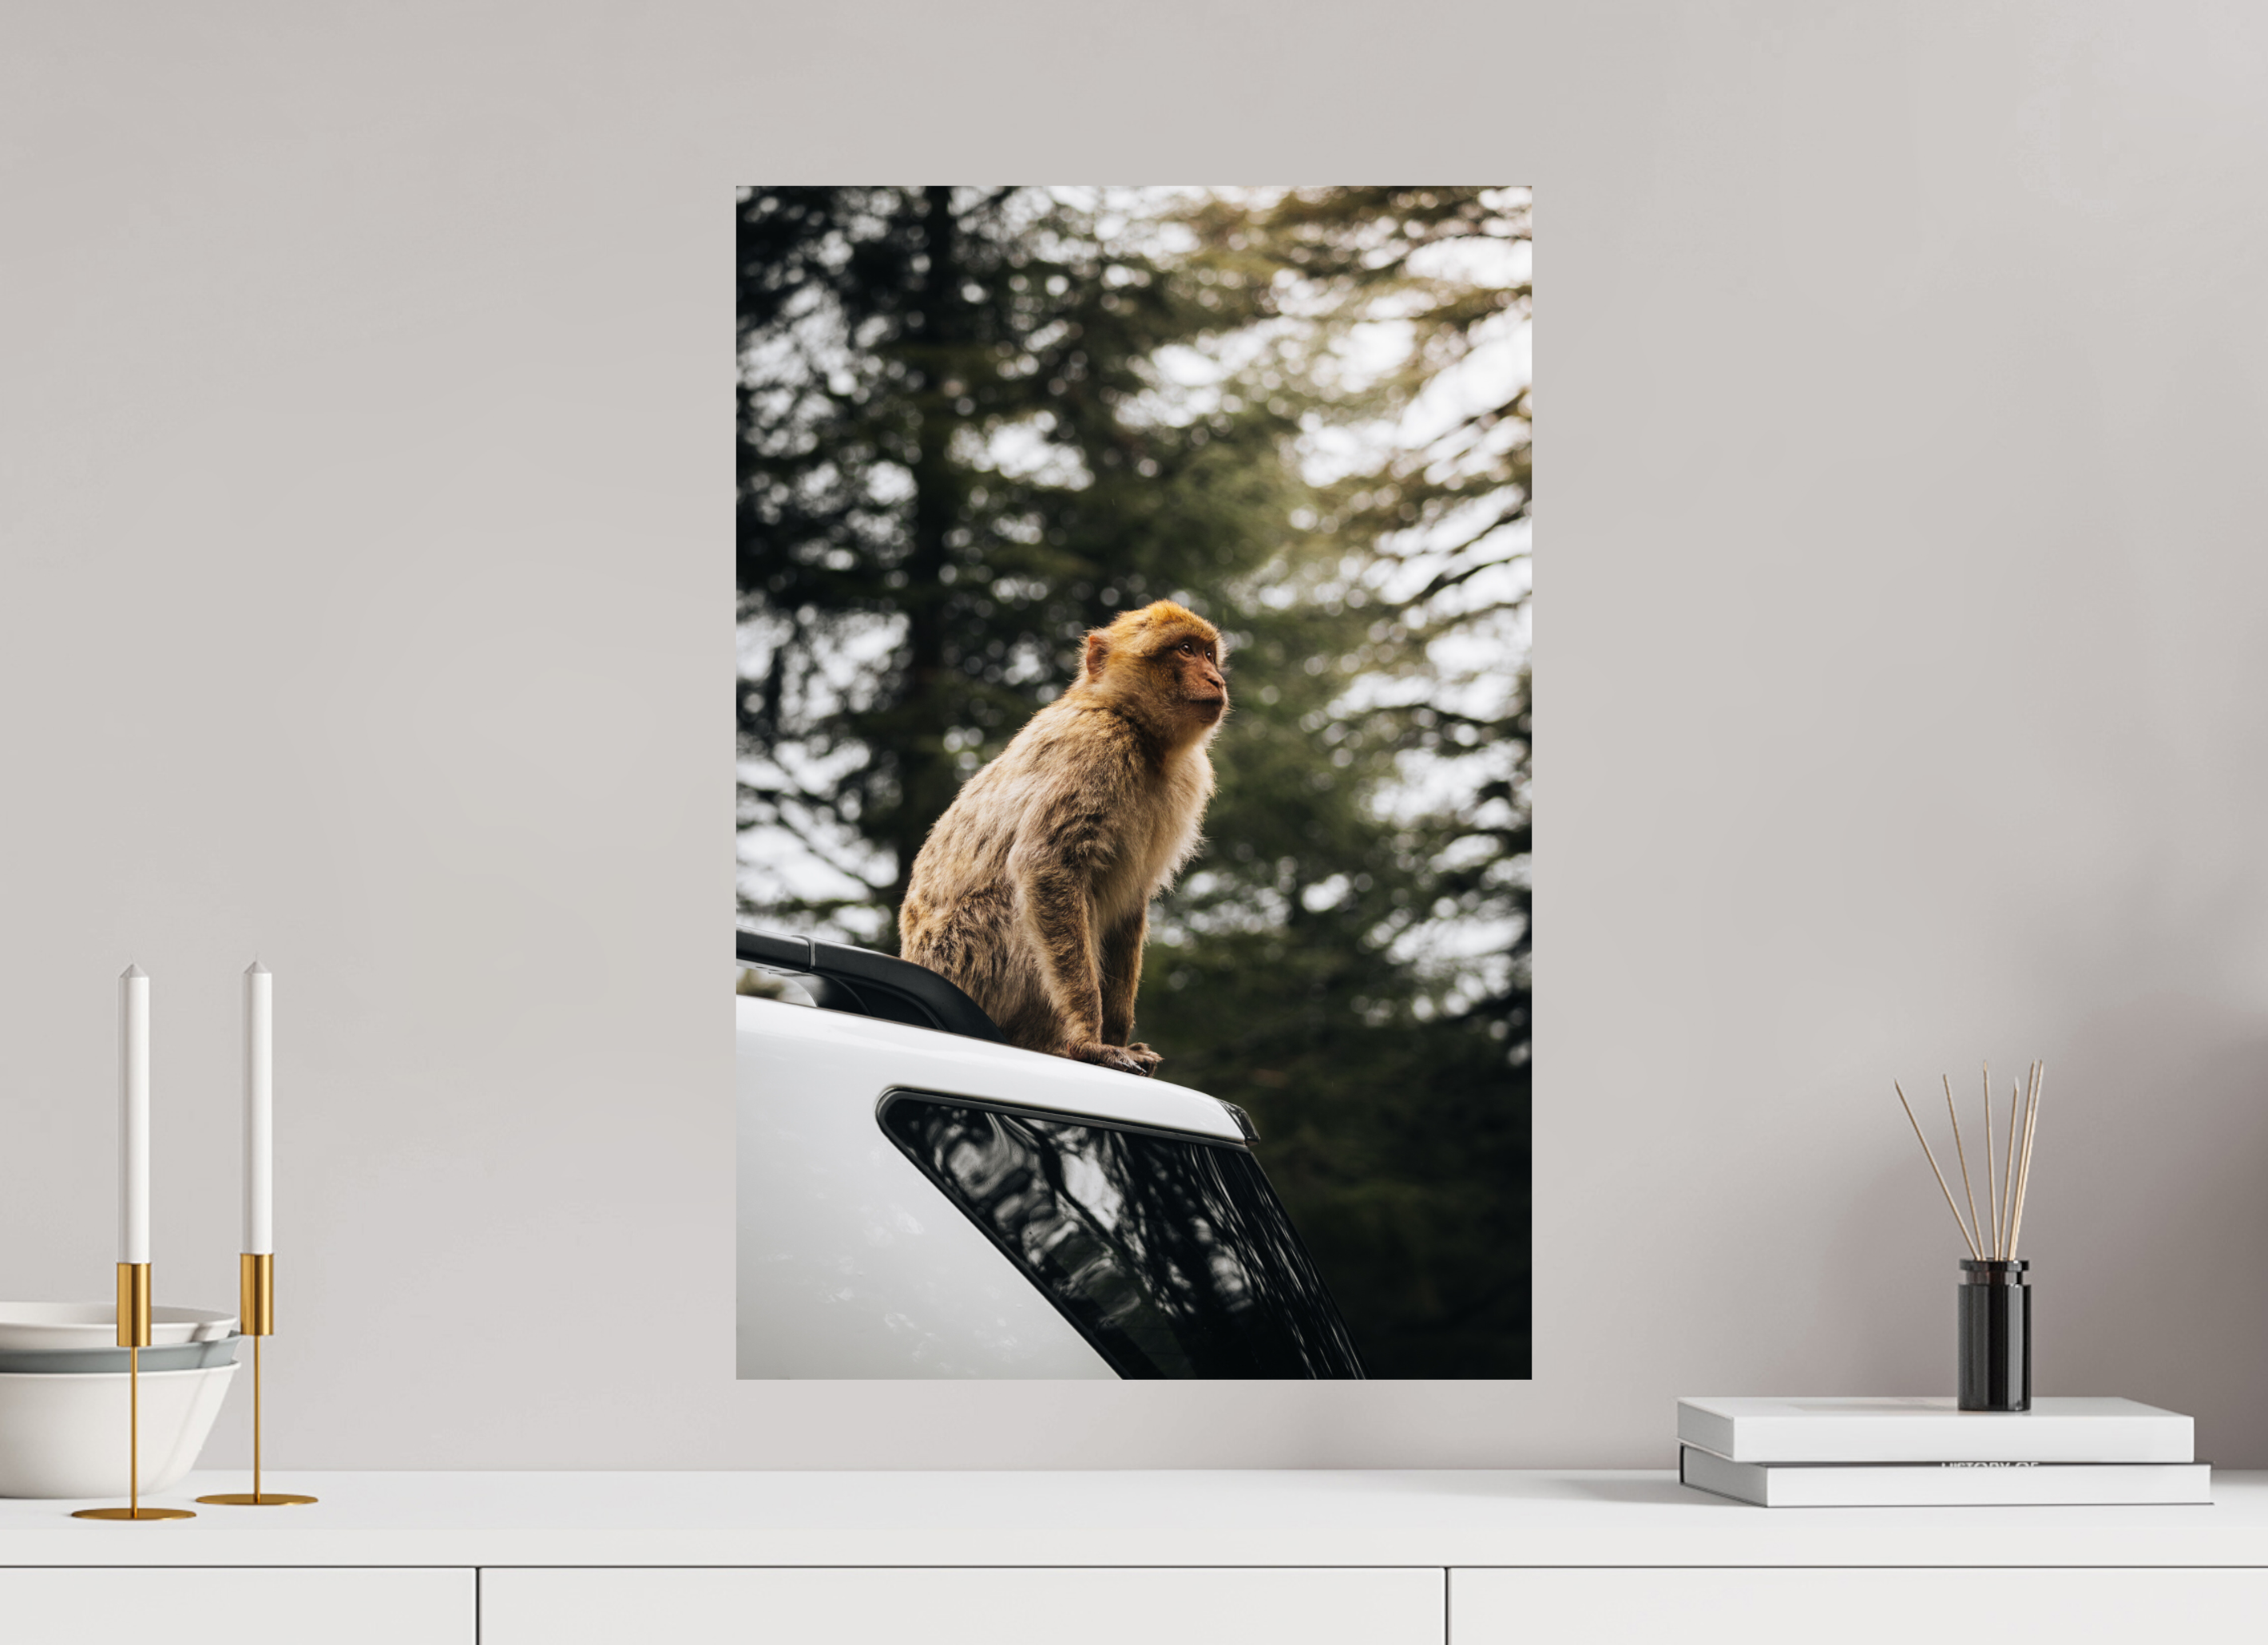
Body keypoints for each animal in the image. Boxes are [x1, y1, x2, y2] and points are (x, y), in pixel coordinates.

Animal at [899, 600, 1229, 1076]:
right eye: (1185, 650)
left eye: (1208, 654)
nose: (1217, 679)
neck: (1135, 727)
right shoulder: (1095, 750)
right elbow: (1046, 866)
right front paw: (1089, 1040)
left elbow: (1131, 900)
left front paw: (1116, 1035)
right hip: (966, 961)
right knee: (1015, 901)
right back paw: (1047, 1041)